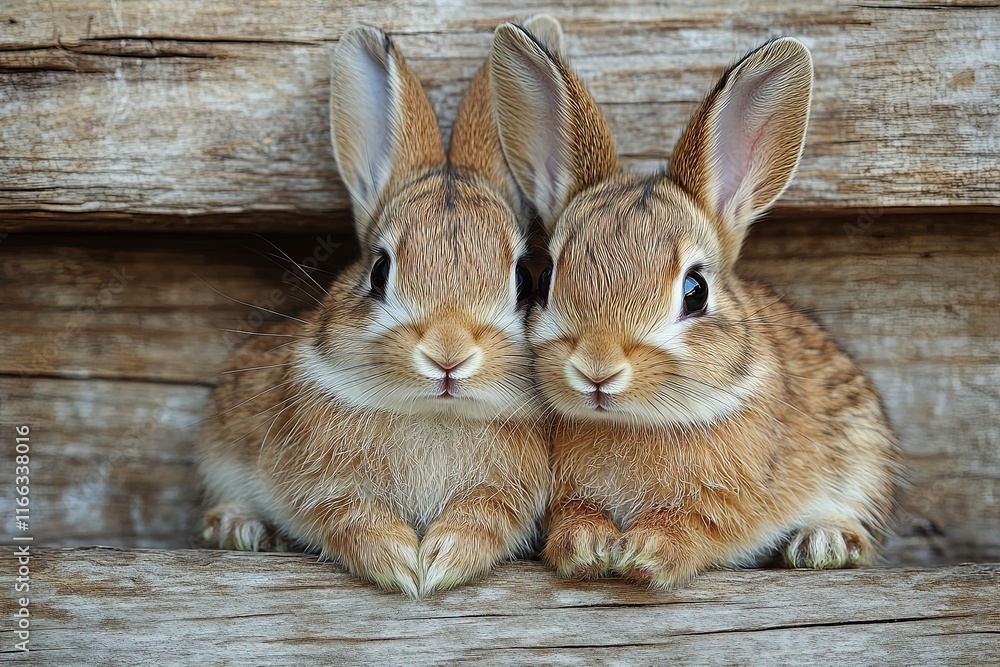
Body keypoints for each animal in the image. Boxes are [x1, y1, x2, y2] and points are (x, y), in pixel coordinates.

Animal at [197, 17, 563, 598]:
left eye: (522, 282)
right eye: (379, 271)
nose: (448, 355)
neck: (436, 411)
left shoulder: (505, 494)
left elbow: (484, 517)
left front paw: (442, 559)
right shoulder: (321, 486)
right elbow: (348, 515)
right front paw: (398, 562)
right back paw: (240, 528)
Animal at [490, 26, 902, 589]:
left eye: (696, 290)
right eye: (546, 279)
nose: (597, 370)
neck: (636, 421)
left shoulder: (731, 500)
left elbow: (697, 525)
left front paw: (646, 552)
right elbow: (574, 515)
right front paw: (587, 548)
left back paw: (823, 543)